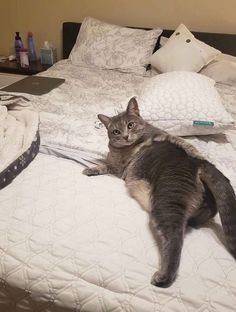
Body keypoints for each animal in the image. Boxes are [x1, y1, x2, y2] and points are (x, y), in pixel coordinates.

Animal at [82, 97, 236, 288]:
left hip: (166, 202)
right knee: (209, 210)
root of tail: (199, 164)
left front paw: (91, 168)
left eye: (130, 125)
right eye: (116, 131)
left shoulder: (118, 169)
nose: (125, 136)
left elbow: (104, 165)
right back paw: (195, 221)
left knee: (175, 238)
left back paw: (164, 277)